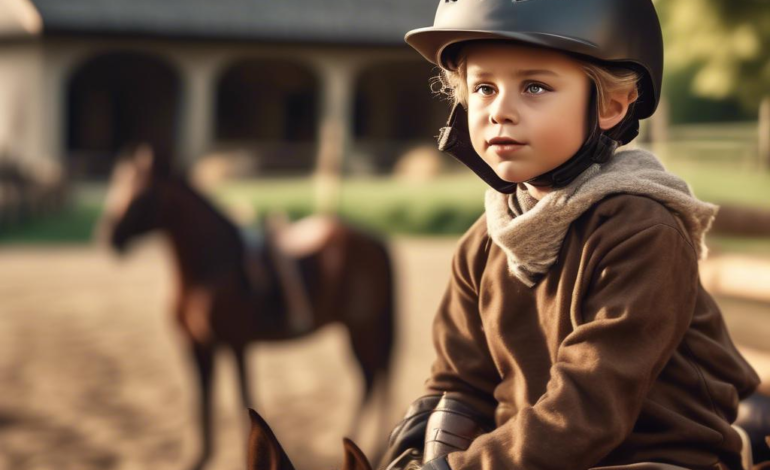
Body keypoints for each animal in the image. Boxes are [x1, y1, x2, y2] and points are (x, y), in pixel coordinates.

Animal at [97, 147, 396, 470]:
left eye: (143, 194)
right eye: (117, 184)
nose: (108, 237)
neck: (212, 266)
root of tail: (374, 240)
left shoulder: (236, 343)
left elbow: (242, 396)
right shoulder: (198, 345)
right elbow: (201, 401)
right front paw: (198, 458)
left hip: (363, 330)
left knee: (376, 376)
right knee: (371, 379)